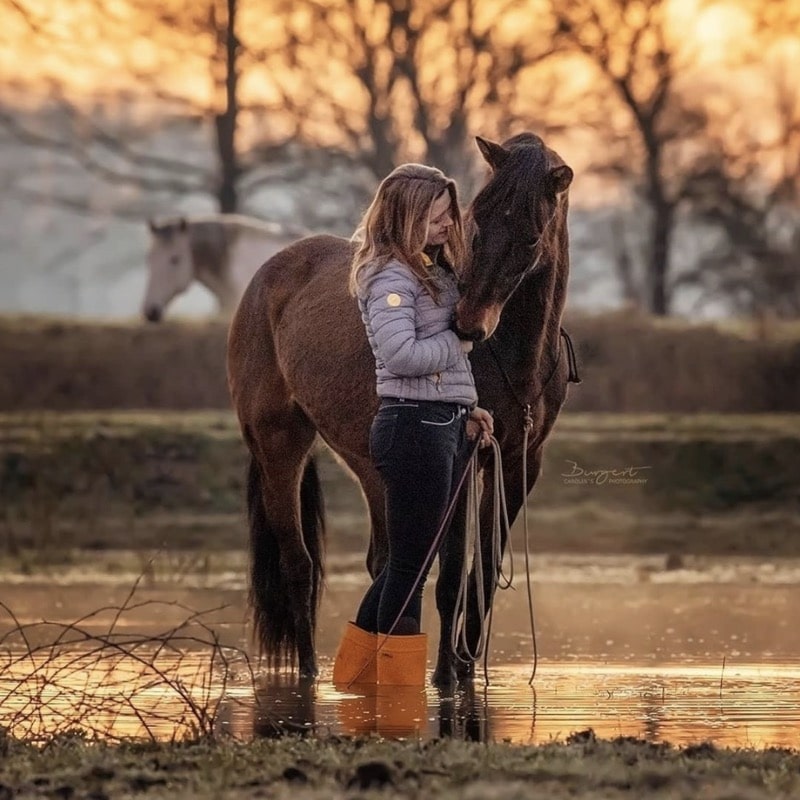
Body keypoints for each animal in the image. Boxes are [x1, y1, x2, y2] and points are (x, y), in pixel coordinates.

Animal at [228, 131, 580, 680]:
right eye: (475, 223)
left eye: (529, 238)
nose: (467, 324)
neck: (514, 357)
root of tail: (270, 274)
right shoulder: (462, 457)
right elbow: (452, 575)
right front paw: (446, 678)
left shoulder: (519, 463)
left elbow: (483, 572)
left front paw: (466, 670)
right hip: (279, 446)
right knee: (299, 565)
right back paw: (309, 672)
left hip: (368, 464)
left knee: (383, 561)